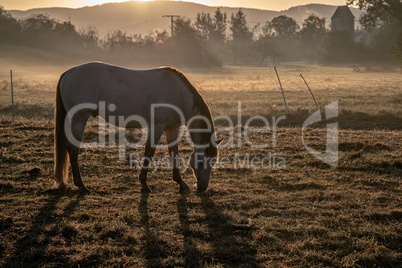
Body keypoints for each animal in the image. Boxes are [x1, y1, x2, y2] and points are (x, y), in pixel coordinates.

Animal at [53, 62, 221, 194]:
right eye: (202, 161)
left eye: (213, 161)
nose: (202, 187)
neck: (178, 93)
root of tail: (69, 72)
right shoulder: (157, 127)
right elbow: (149, 152)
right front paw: (144, 184)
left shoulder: (172, 128)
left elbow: (174, 153)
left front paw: (181, 183)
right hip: (79, 119)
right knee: (73, 150)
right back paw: (82, 186)